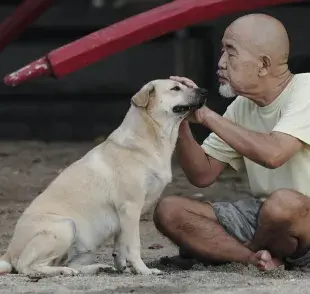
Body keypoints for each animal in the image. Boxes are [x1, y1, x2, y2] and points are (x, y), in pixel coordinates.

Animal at [0, 78, 208, 276]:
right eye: (175, 88)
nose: (205, 90)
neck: (150, 137)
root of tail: (8, 253)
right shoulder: (131, 208)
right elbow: (134, 246)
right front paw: (143, 271)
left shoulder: (124, 218)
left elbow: (121, 245)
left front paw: (122, 266)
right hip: (66, 226)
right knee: (27, 266)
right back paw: (63, 271)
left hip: (89, 242)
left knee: (72, 264)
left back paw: (97, 268)